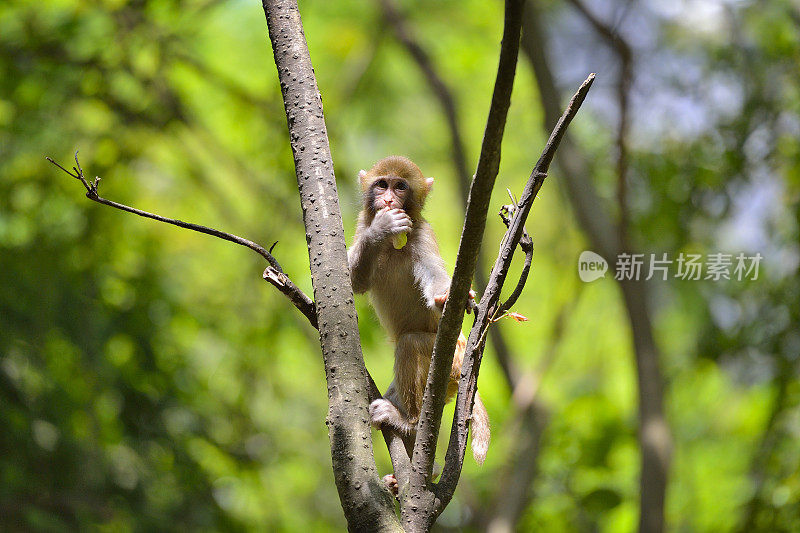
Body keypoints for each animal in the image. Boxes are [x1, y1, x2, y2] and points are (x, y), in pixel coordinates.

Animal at [348, 155, 490, 466]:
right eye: (382, 185)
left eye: (400, 187)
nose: (389, 200)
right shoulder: (361, 224)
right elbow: (352, 281)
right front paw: (380, 229)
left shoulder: (422, 237)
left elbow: (433, 276)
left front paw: (447, 295)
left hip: (452, 361)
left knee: (411, 343)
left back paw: (408, 423)